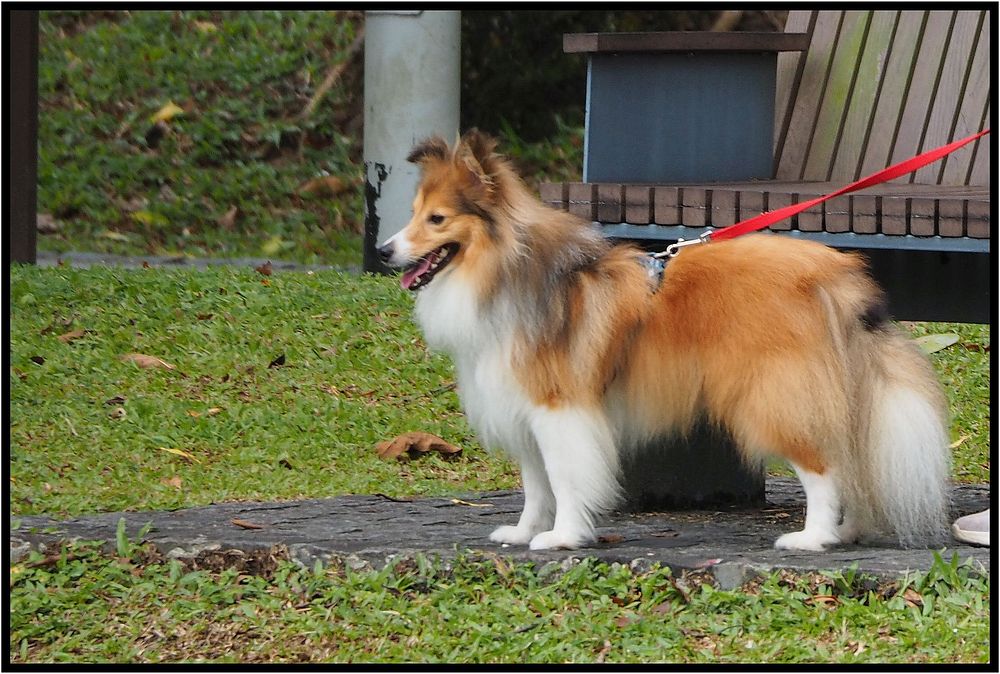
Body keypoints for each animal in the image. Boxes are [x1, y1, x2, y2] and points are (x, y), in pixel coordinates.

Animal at [376, 129, 944, 548]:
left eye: (437, 219)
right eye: (413, 213)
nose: (383, 251)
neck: (504, 272)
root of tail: (833, 274)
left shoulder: (559, 408)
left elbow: (564, 477)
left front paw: (563, 537)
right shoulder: (524, 409)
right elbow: (535, 485)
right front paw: (523, 533)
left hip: (772, 396)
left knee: (824, 469)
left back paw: (814, 538)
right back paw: (845, 532)